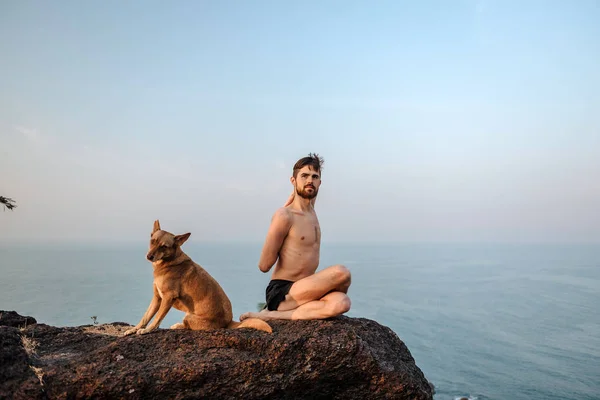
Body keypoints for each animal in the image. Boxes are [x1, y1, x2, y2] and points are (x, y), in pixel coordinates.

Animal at [122, 220, 272, 336]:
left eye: (164, 246)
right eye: (152, 241)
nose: (149, 256)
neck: (169, 262)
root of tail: (228, 321)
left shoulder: (168, 298)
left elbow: (158, 317)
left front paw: (148, 330)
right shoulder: (157, 298)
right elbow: (145, 317)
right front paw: (134, 329)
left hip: (189, 316)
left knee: (188, 326)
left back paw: (178, 326)